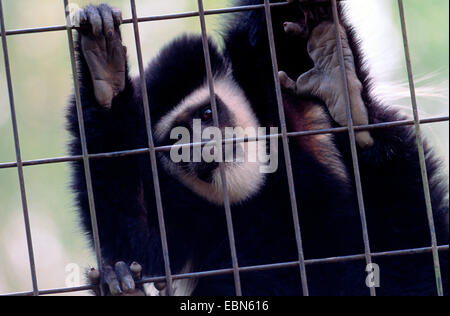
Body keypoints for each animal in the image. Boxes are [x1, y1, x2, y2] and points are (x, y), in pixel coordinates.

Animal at [65, 0, 448, 296]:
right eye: (176, 138)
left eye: (207, 114)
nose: (202, 144)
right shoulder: (177, 204)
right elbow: (144, 248)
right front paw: (105, 80)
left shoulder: (273, 91)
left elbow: (278, 29)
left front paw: (103, 58)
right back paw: (121, 289)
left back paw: (342, 87)